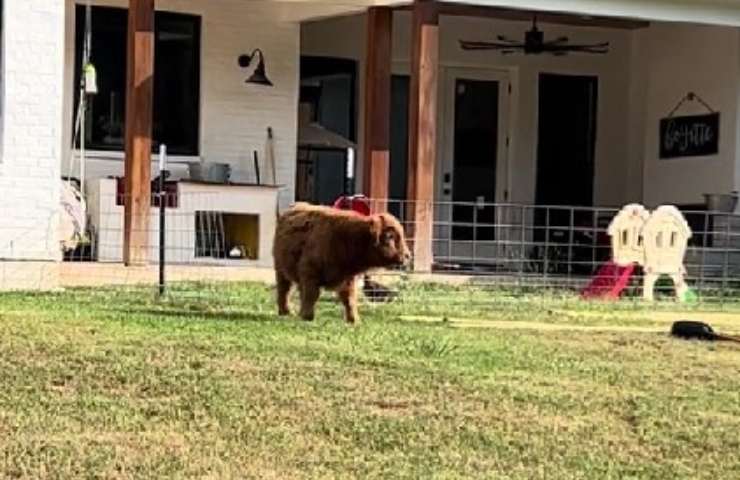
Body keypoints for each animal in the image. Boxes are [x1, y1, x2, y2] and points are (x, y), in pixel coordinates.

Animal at [272, 202, 411, 323]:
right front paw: (307, 316)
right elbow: (311, 295)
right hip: (280, 270)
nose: (407, 255)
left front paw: (354, 320)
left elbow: (349, 299)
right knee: (284, 290)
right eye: (389, 236)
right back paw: (285, 311)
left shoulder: (348, 279)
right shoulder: (309, 273)